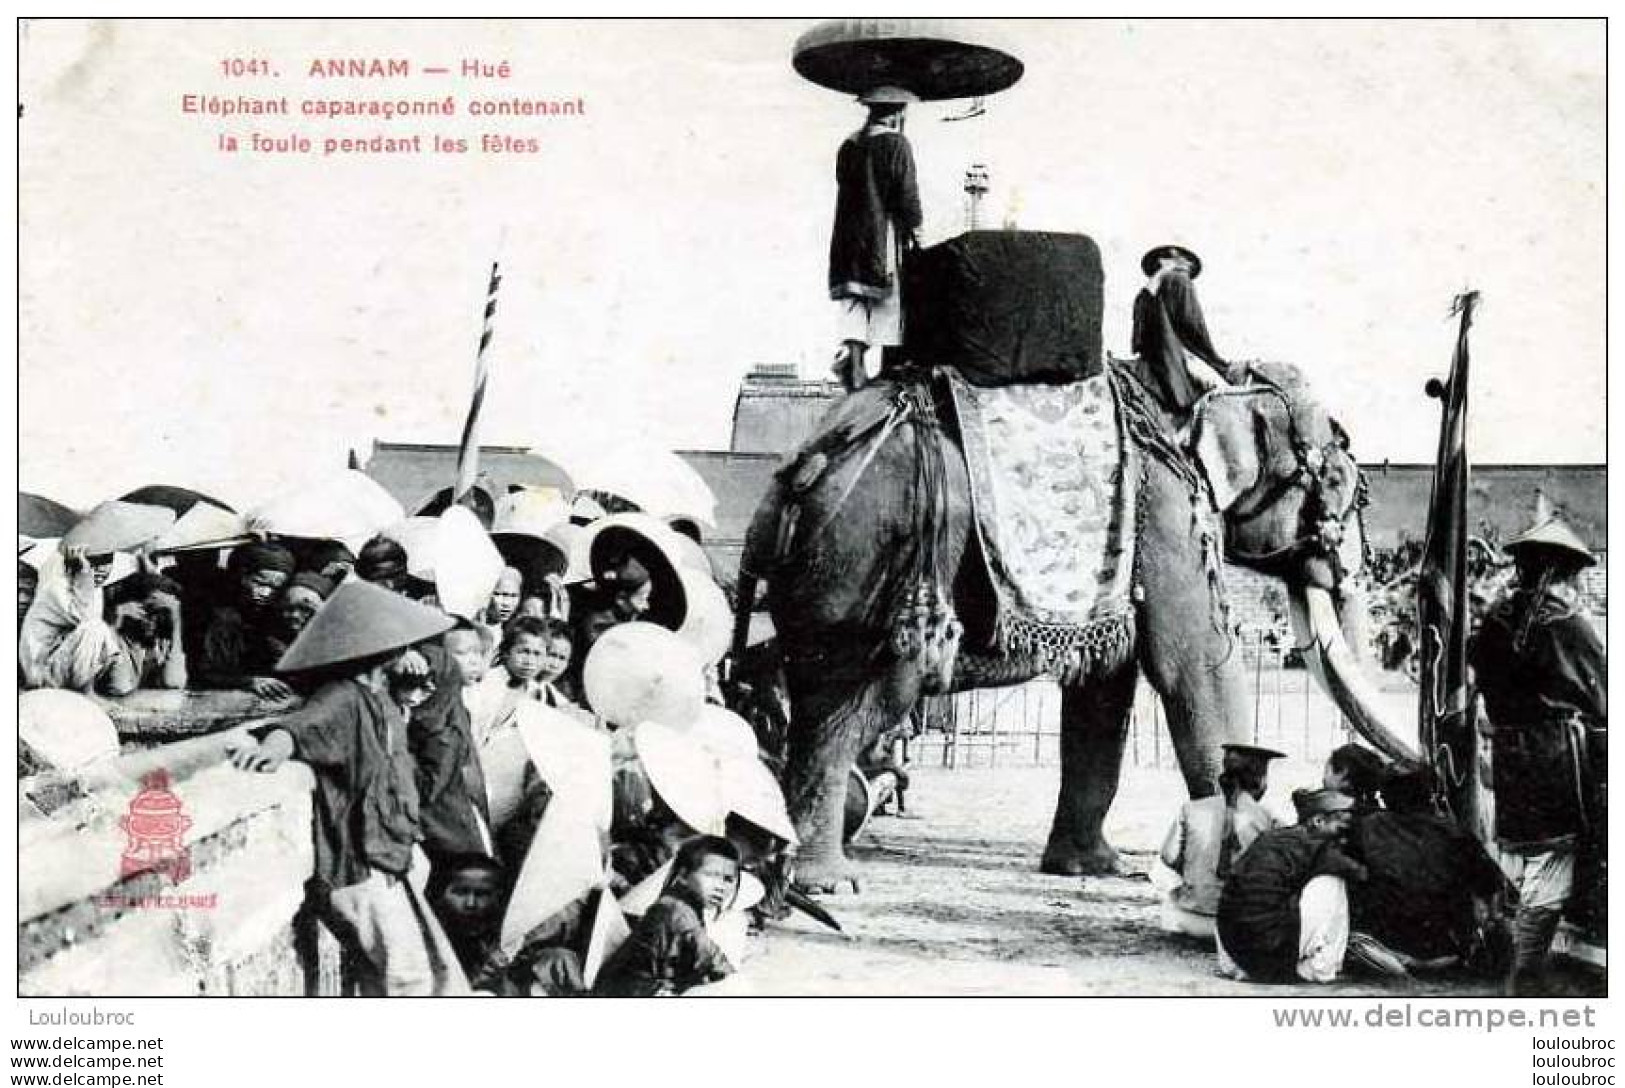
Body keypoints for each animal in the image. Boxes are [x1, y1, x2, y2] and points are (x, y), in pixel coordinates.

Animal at [731, 357, 1417, 896]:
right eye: (1338, 481)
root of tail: (799, 474)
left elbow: (1104, 691)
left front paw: (1096, 869)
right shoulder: (1167, 510)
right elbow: (1192, 666)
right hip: (872, 561)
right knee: (857, 703)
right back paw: (829, 881)